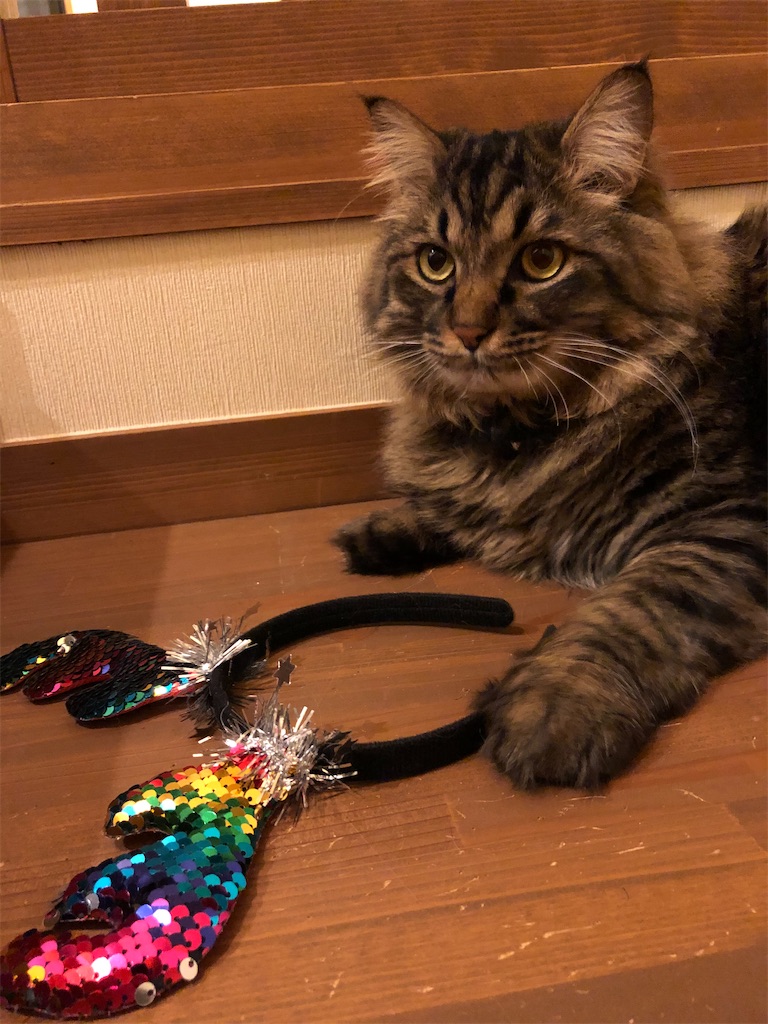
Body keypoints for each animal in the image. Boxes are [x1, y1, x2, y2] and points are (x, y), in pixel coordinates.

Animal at [333, 61, 767, 789]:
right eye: (435, 263)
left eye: (542, 261)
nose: (468, 331)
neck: (519, 434)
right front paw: (390, 529)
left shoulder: (729, 521)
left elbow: (636, 608)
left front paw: (555, 704)